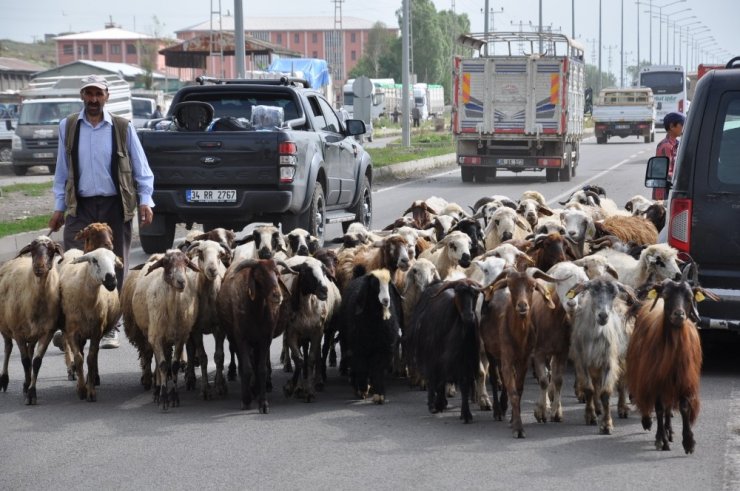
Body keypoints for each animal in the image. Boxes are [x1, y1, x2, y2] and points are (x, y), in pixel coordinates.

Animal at [624, 276, 716, 454]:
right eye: (666, 295)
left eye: (689, 297)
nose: (679, 314)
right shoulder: (655, 379)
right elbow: (659, 407)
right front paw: (661, 439)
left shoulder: (683, 380)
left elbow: (684, 407)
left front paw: (688, 441)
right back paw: (653, 425)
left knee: (668, 408)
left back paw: (670, 430)